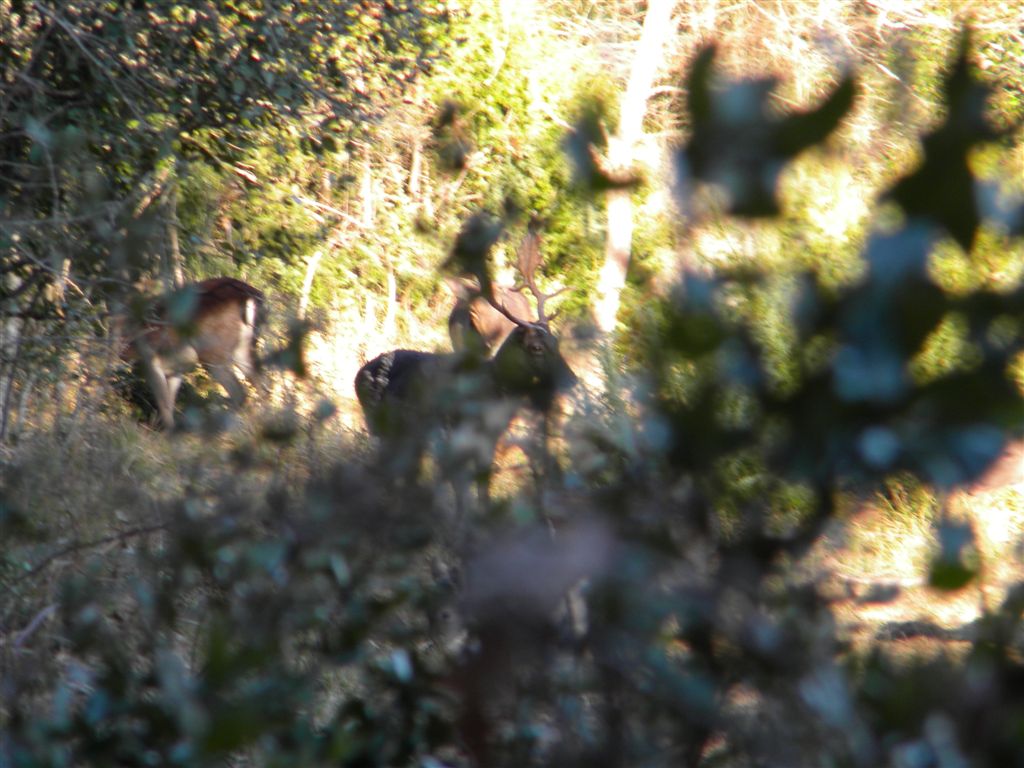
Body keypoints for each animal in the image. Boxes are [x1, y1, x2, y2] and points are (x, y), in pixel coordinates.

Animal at [118, 278, 268, 434]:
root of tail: (251, 296)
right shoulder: (176, 369)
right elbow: (169, 401)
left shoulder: (150, 359)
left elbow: (163, 402)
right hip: (243, 349)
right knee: (262, 385)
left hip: (212, 351)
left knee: (239, 392)